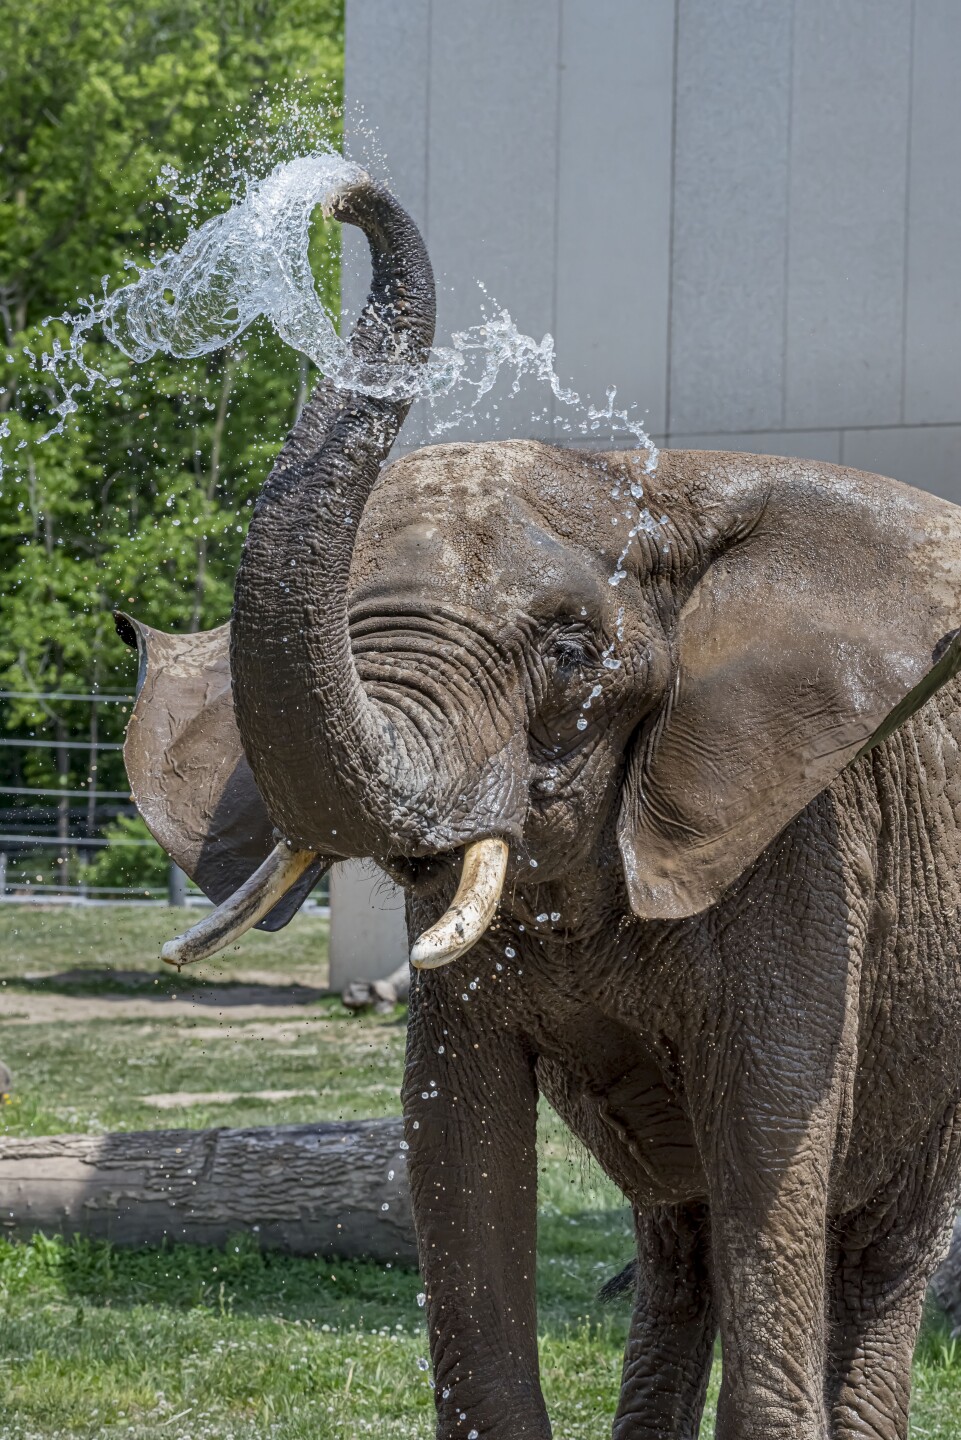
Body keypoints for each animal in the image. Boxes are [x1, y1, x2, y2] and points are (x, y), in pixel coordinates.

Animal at [115, 169, 961, 1440]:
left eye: (570, 650)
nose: (339, 194)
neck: (657, 494)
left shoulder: (805, 839)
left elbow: (769, 1136)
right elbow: (454, 1135)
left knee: (866, 1246)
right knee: (681, 1239)